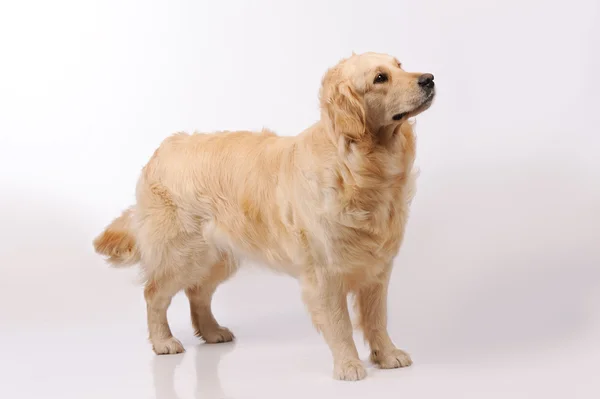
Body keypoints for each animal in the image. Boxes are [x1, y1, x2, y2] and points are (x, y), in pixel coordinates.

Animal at [96, 51, 438, 382]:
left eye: (399, 65)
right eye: (380, 78)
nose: (430, 78)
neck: (361, 166)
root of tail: (162, 150)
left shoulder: (377, 268)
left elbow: (377, 318)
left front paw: (387, 355)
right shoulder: (325, 272)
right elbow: (340, 323)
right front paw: (349, 365)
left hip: (218, 256)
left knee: (197, 292)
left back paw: (212, 331)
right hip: (181, 253)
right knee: (154, 293)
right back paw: (163, 341)